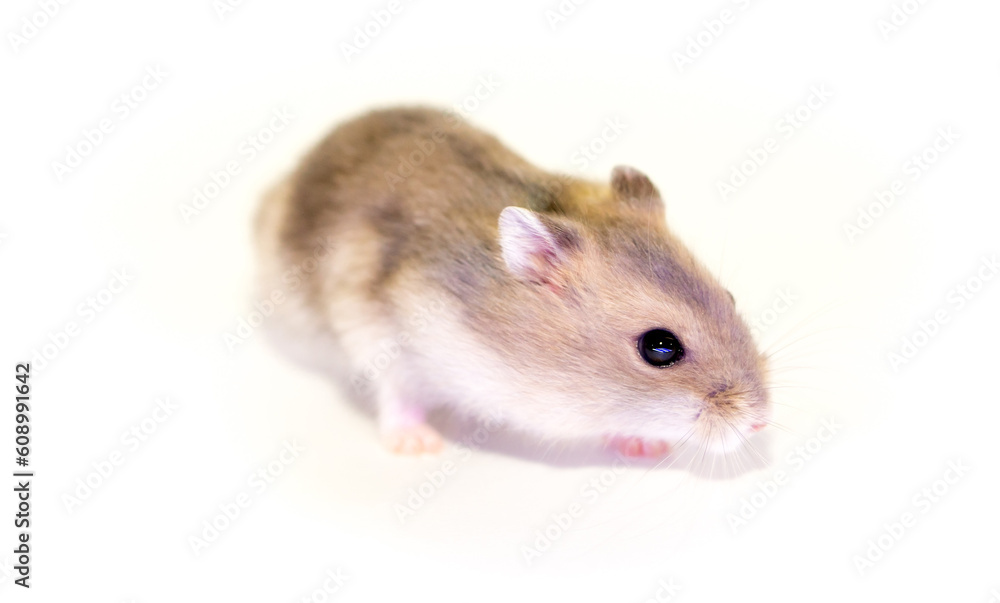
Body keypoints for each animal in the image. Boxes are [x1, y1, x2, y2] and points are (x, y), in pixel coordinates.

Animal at [255, 107, 769, 457]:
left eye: (730, 297)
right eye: (660, 347)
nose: (762, 422)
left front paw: (646, 447)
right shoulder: (381, 336)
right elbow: (396, 396)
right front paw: (420, 447)